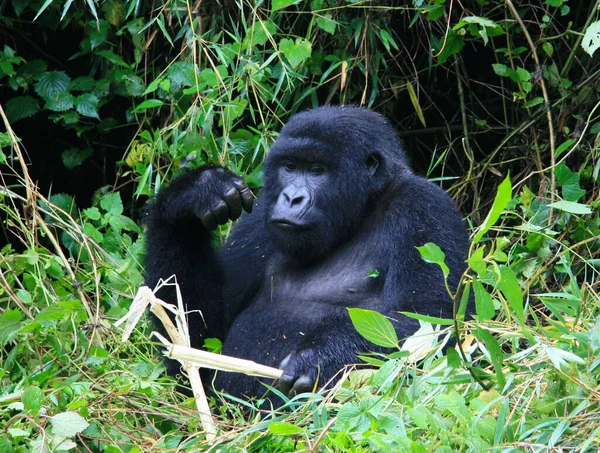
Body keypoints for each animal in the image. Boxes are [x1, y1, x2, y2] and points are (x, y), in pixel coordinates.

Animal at [144, 106, 468, 400]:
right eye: (289, 167)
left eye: (316, 171)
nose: (291, 198)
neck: (364, 208)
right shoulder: (259, 217)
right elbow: (198, 343)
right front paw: (194, 193)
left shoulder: (424, 205)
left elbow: (430, 320)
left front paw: (321, 359)